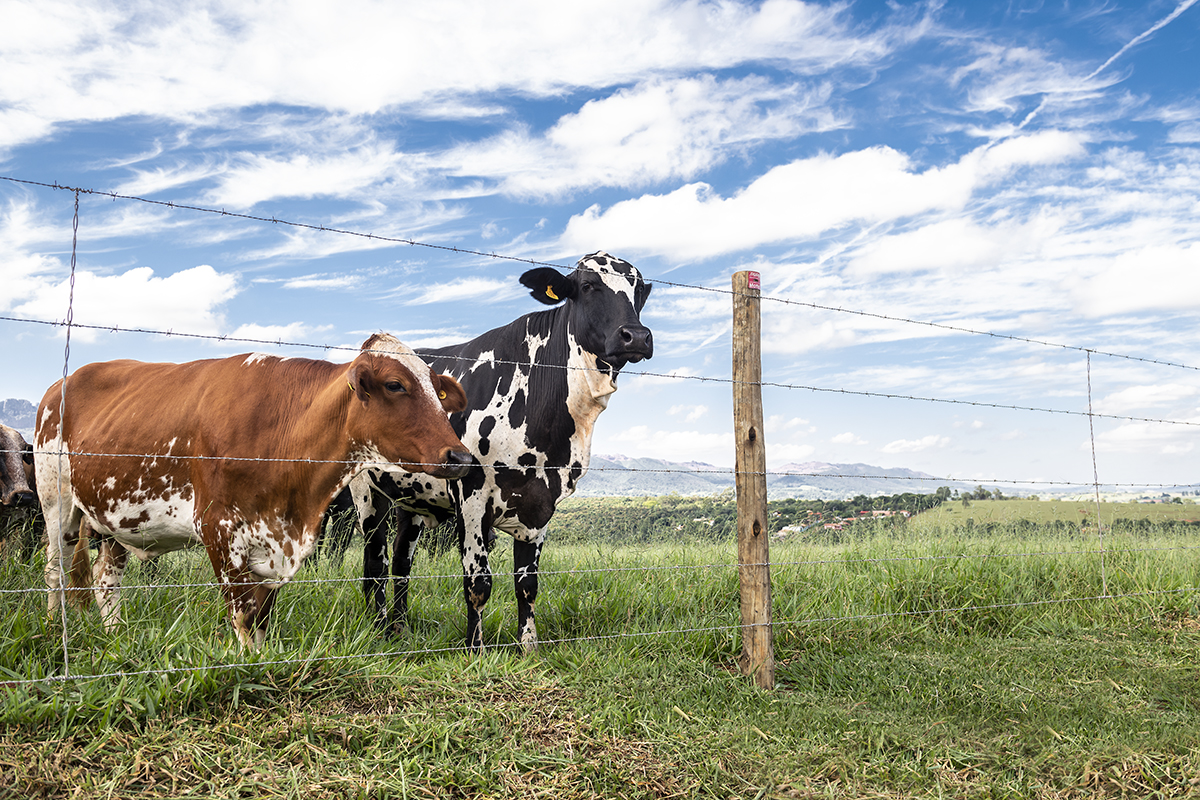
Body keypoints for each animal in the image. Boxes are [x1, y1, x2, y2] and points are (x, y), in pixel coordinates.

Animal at [35, 333, 470, 652]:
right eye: (395, 385)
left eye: (437, 390)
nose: (461, 456)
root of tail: (64, 381)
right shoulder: (217, 528)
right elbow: (243, 613)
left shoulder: (275, 541)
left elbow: (261, 616)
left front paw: (260, 660)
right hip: (56, 501)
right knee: (55, 570)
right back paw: (53, 628)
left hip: (112, 515)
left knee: (106, 578)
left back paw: (117, 635)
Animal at [333, 250, 652, 652]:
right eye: (587, 285)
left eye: (639, 291)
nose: (636, 336)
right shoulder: (471, 495)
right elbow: (478, 582)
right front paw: (476, 650)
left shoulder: (541, 502)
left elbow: (527, 584)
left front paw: (528, 648)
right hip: (366, 491)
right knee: (375, 562)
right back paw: (379, 630)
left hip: (413, 498)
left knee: (402, 561)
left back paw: (399, 630)